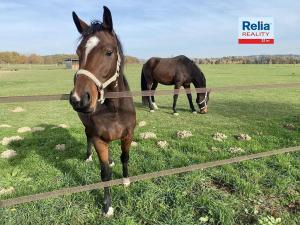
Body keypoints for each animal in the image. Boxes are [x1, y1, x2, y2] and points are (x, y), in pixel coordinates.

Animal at [69, 5, 136, 216]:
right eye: (79, 52)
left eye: (108, 52)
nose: (79, 99)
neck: (114, 109)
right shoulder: (99, 139)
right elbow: (105, 173)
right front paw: (107, 206)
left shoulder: (128, 135)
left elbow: (125, 157)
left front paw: (126, 181)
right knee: (88, 136)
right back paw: (89, 157)